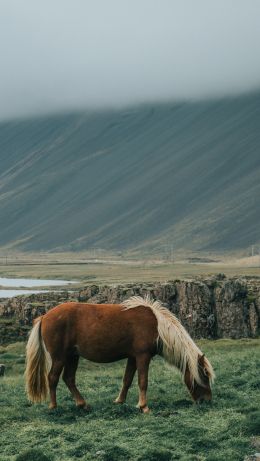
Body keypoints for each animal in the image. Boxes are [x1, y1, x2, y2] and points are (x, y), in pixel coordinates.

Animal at [25, 296, 214, 412]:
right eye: (204, 376)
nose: (207, 401)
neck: (157, 327)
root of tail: (44, 316)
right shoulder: (142, 356)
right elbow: (143, 381)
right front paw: (144, 406)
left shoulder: (133, 357)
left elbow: (127, 380)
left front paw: (119, 401)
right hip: (60, 358)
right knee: (53, 378)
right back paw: (53, 406)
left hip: (73, 356)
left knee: (69, 379)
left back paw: (83, 404)